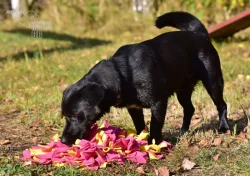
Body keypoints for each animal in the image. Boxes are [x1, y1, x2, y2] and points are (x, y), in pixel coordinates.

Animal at [60, 11, 229, 145]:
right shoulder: (134, 108)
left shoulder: (158, 103)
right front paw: (139, 141)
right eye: (64, 116)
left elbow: (155, 126)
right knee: (189, 108)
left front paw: (152, 144)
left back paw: (223, 127)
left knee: (222, 105)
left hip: (213, 82)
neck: (124, 75)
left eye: (75, 115)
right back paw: (183, 131)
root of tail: (199, 34)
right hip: (183, 90)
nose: (63, 140)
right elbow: (140, 126)